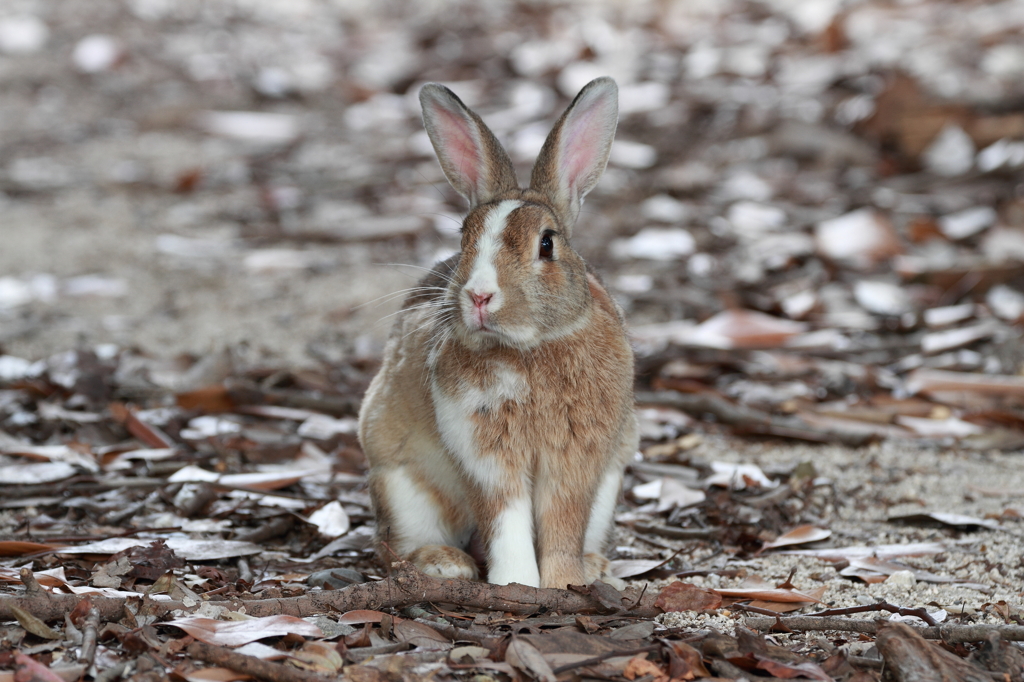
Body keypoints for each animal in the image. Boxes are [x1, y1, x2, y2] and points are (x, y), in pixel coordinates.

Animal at [356, 76, 634, 585]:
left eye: (547, 244)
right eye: (464, 238)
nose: (480, 296)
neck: (531, 349)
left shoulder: (579, 459)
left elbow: (563, 521)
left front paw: (564, 583)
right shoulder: (484, 451)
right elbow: (506, 518)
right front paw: (516, 585)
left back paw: (595, 566)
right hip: (400, 486)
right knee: (391, 548)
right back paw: (444, 563)